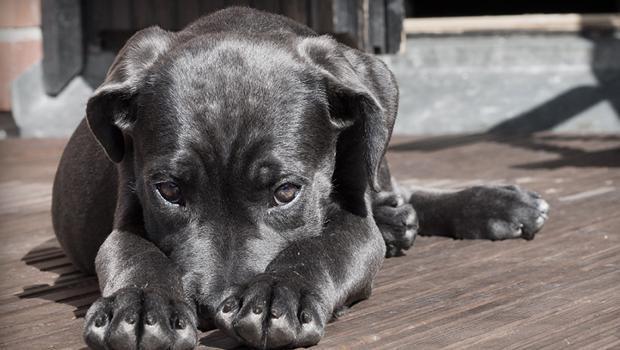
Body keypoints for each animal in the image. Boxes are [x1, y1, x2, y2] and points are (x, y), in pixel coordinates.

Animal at [50, 6, 548, 350]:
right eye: (168, 191)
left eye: (286, 192)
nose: (211, 307)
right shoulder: (128, 210)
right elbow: (132, 252)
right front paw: (141, 305)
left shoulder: (354, 222)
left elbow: (322, 248)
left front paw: (278, 294)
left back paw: (492, 205)